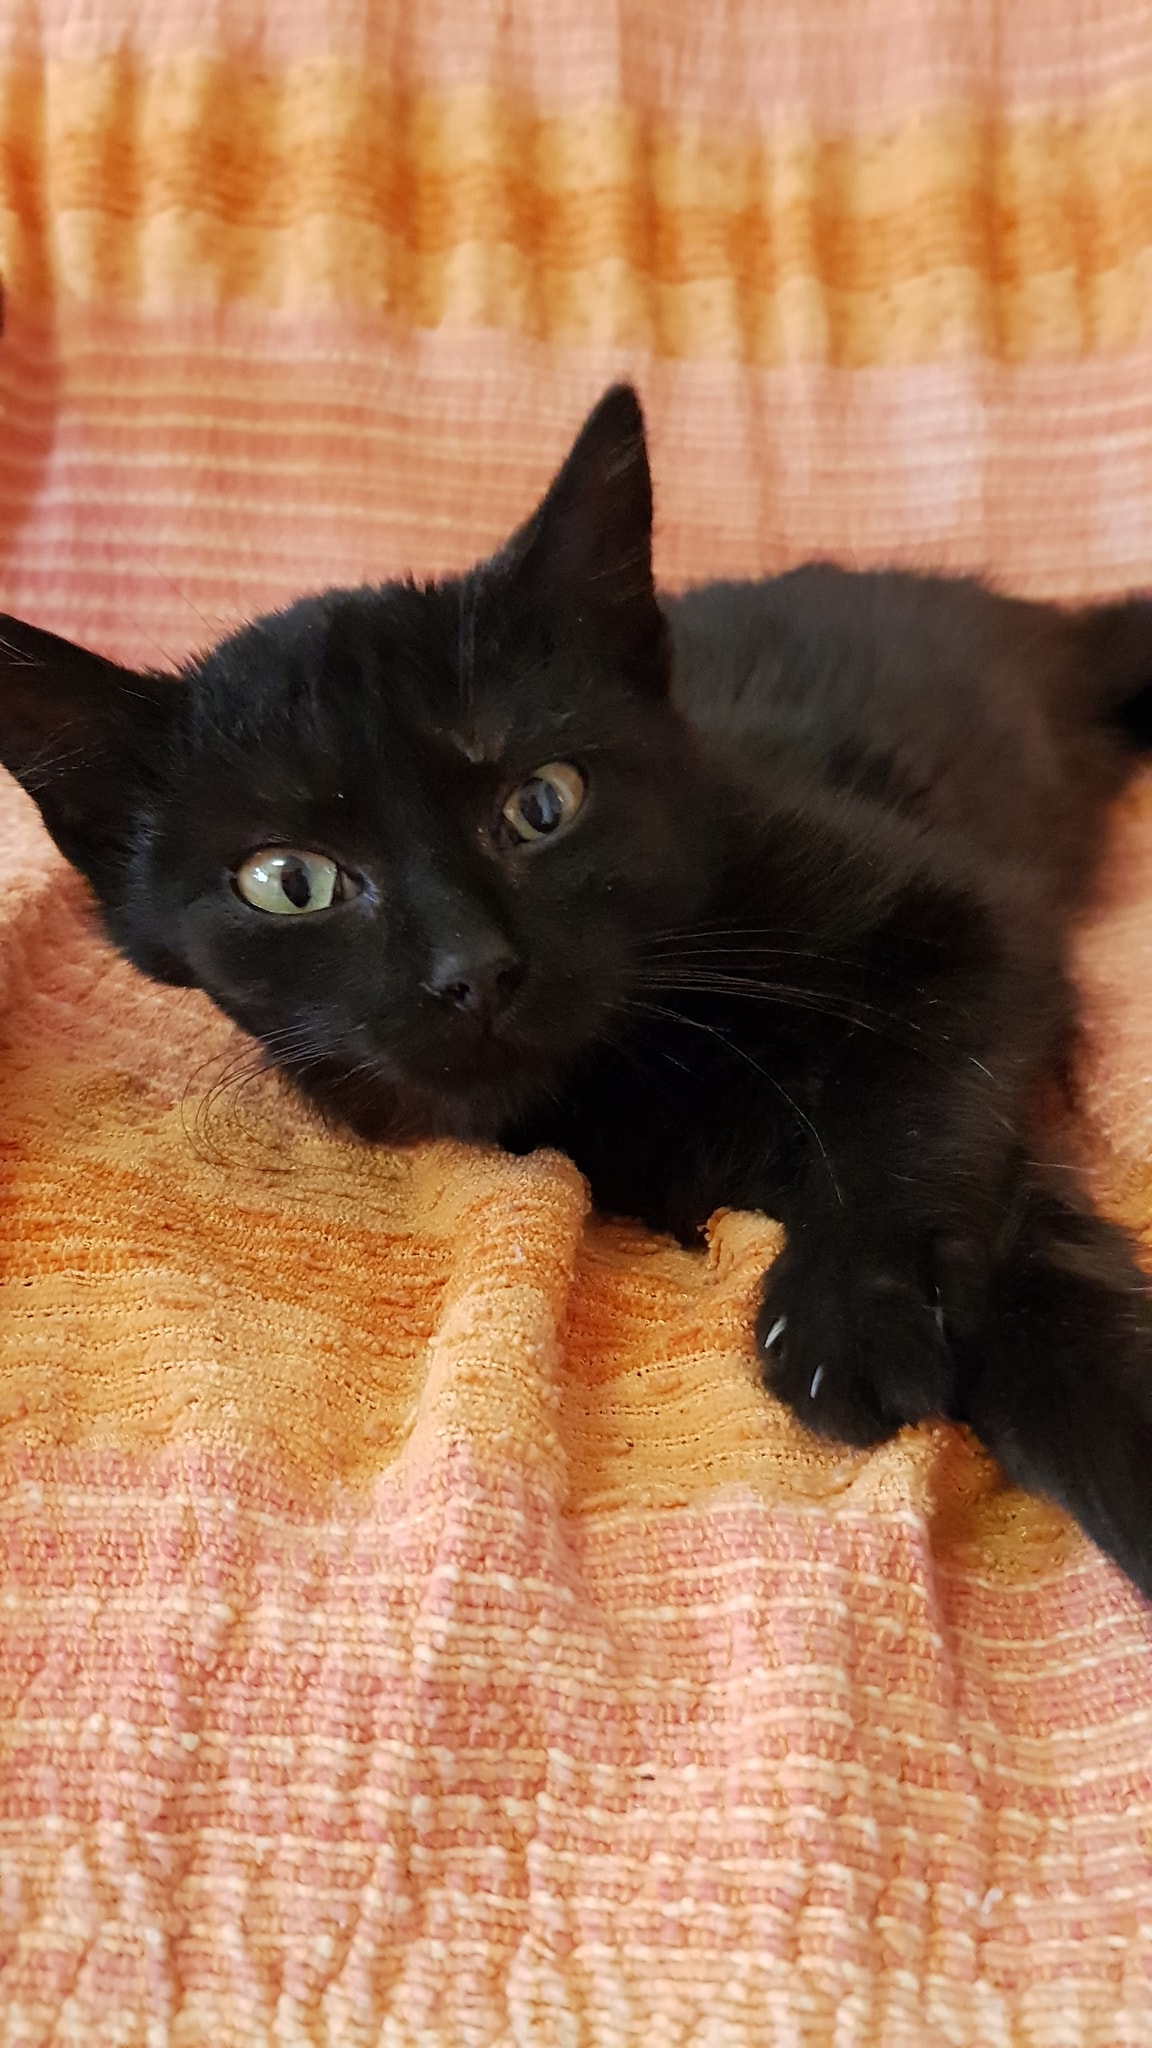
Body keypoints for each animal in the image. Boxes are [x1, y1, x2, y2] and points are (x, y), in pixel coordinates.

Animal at [3, 383, 1152, 1595]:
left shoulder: (968, 917)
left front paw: (857, 1305)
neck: (630, 1065)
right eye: (289, 881)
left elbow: (919, 1101)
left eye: (543, 804)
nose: (472, 970)